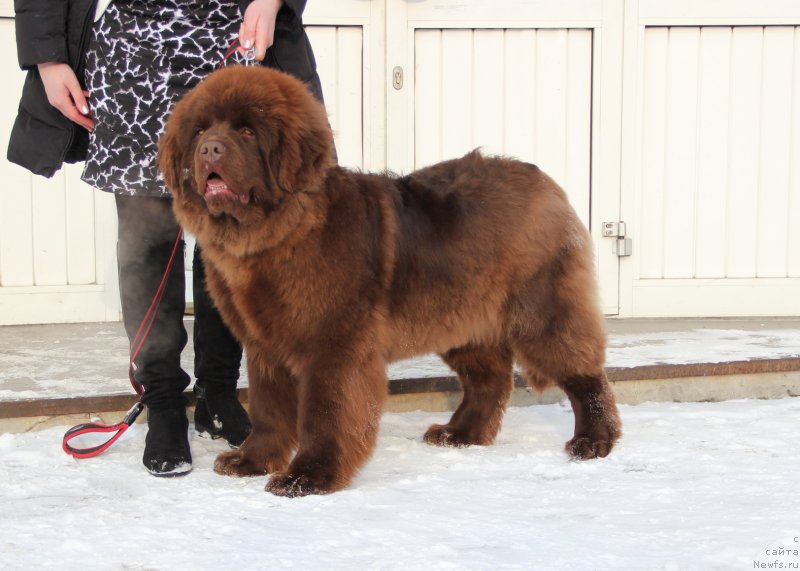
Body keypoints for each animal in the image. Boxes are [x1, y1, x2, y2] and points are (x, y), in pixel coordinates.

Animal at [158, 66, 620, 496]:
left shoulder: (334, 344)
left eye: (247, 130)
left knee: (584, 373)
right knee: (490, 379)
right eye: (200, 131)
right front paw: (252, 461)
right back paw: (461, 434)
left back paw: (594, 440)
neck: (280, 235)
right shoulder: (264, 346)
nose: (210, 149)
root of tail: (548, 183)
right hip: (460, 315)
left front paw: (309, 477)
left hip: (541, 310)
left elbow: (326, 411)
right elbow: (269, 408)